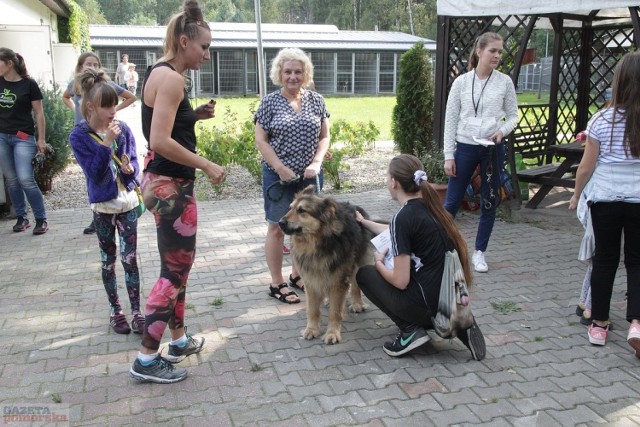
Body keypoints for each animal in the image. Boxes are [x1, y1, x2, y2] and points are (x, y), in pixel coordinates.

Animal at [280, 187, 376, 344]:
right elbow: (312, 309)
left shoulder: (338, 280)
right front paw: (312, 329)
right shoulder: (310, 280)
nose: (280, 222)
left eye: (302, 211)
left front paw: (332, 333)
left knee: (355, 286)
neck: (316, 243)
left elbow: (335, 312)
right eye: (290, 208)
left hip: (357, 262)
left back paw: (357, 304)